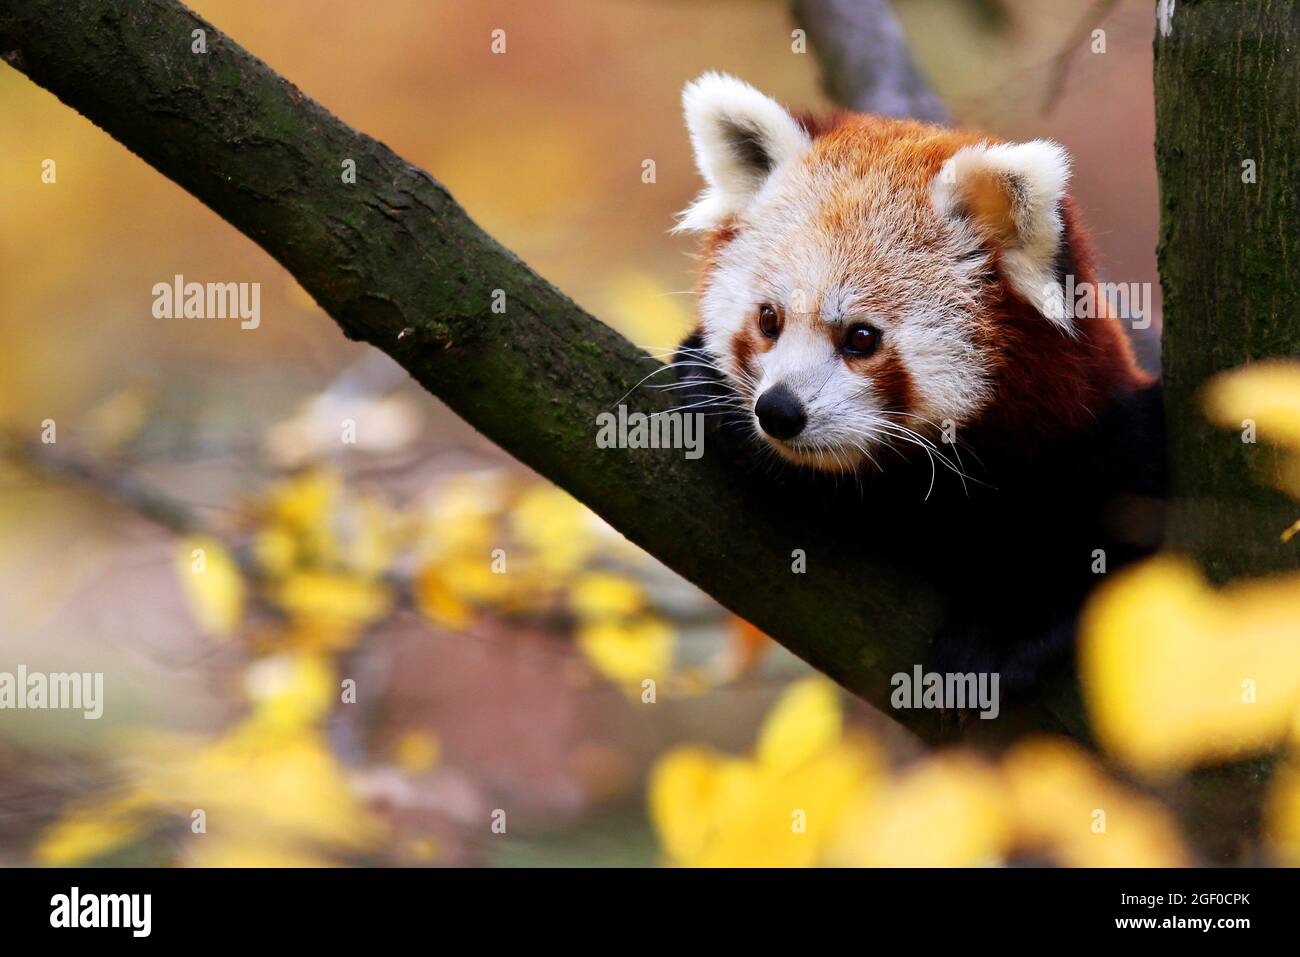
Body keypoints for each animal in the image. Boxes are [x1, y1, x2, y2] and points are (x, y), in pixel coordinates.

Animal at [670, 74, 1170, 686]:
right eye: (769, 320)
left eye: (861, 338)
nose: (778, 411)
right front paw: (704, 379)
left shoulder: (1110, 438)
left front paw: (1006, 629)